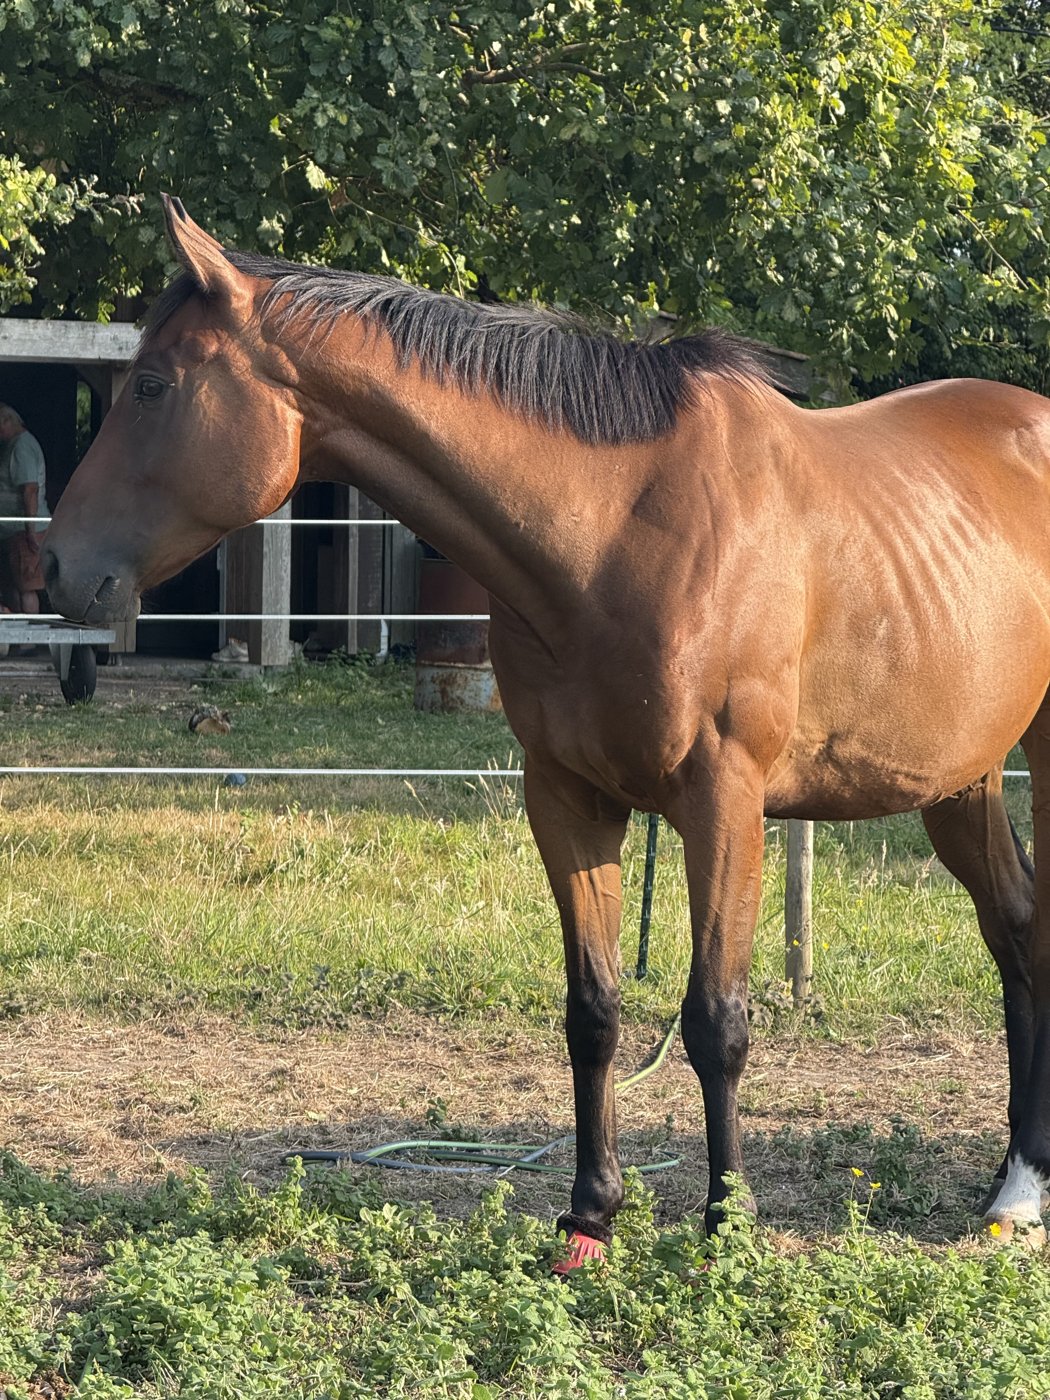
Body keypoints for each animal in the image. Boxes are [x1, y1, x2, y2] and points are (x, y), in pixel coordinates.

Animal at [44, 197, 1050, 1266]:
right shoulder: (567, 798)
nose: (59, 568)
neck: (617, 528)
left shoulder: (724, 803)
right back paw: (1015, 1184)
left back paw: (1019, 1184)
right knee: (1017, 930)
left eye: (153, 386)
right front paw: (590, 1217)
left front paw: (725, 1223)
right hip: (959, 778)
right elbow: (594, 1011)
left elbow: (716, 1020)